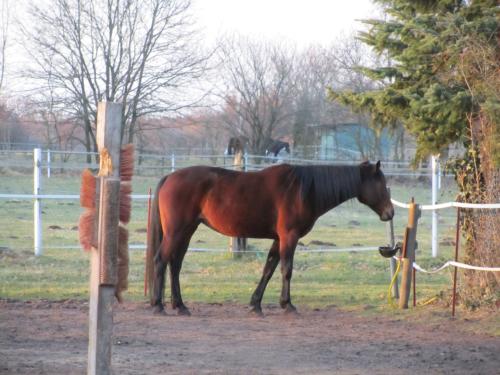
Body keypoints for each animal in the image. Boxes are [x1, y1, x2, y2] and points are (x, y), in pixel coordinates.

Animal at [146, 160, 396, 316]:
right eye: (381, 184)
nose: (390, 213)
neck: (303, 190)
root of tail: (169, 177)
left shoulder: (279, 239)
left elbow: (269, 268)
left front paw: (255, 304)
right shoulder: (289, 237)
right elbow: (286, 270)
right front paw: (287, 305)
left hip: (186, 232)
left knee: (175, 265)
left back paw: (180, 306)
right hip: (176, 231)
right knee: (161, 260)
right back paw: (158, 305)